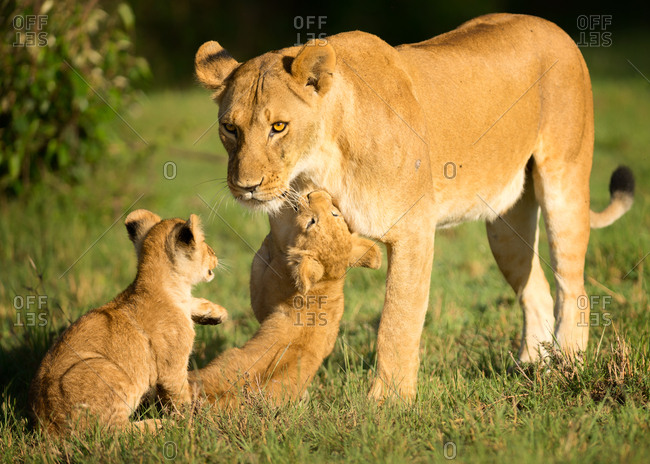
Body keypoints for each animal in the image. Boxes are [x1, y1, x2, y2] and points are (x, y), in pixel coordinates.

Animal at [29, 210, 228, 433]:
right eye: (203, 243)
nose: (214, 254)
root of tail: (47, 426)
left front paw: (216, 313)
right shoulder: (172, 368)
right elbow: (181, 399)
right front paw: (193, 423)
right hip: (109, 372)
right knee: (114, 432)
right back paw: (161, 425)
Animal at [190, 190, 381, 406]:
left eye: (311, 222)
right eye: (335, 214)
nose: (314, 193)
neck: (325, 283)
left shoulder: (264, 296)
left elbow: (259, 266)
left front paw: (269, 241)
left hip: (228, 354)